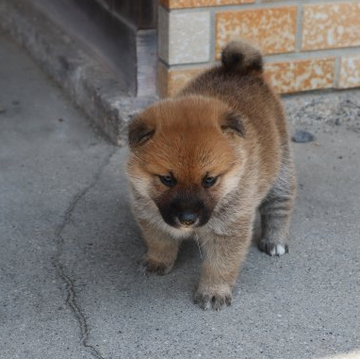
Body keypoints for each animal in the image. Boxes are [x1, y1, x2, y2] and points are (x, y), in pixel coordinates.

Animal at [126, 38, 296, 310]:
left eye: (209, 180)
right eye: (167, 179)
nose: (187, 219)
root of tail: (242, 69)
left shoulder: (229, 228)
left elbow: (220, 265)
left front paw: (214, 291)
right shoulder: (149, 214)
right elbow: (160, 241)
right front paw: (157, 261)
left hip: (281, 168)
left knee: (279, 206)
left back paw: (275, 241)